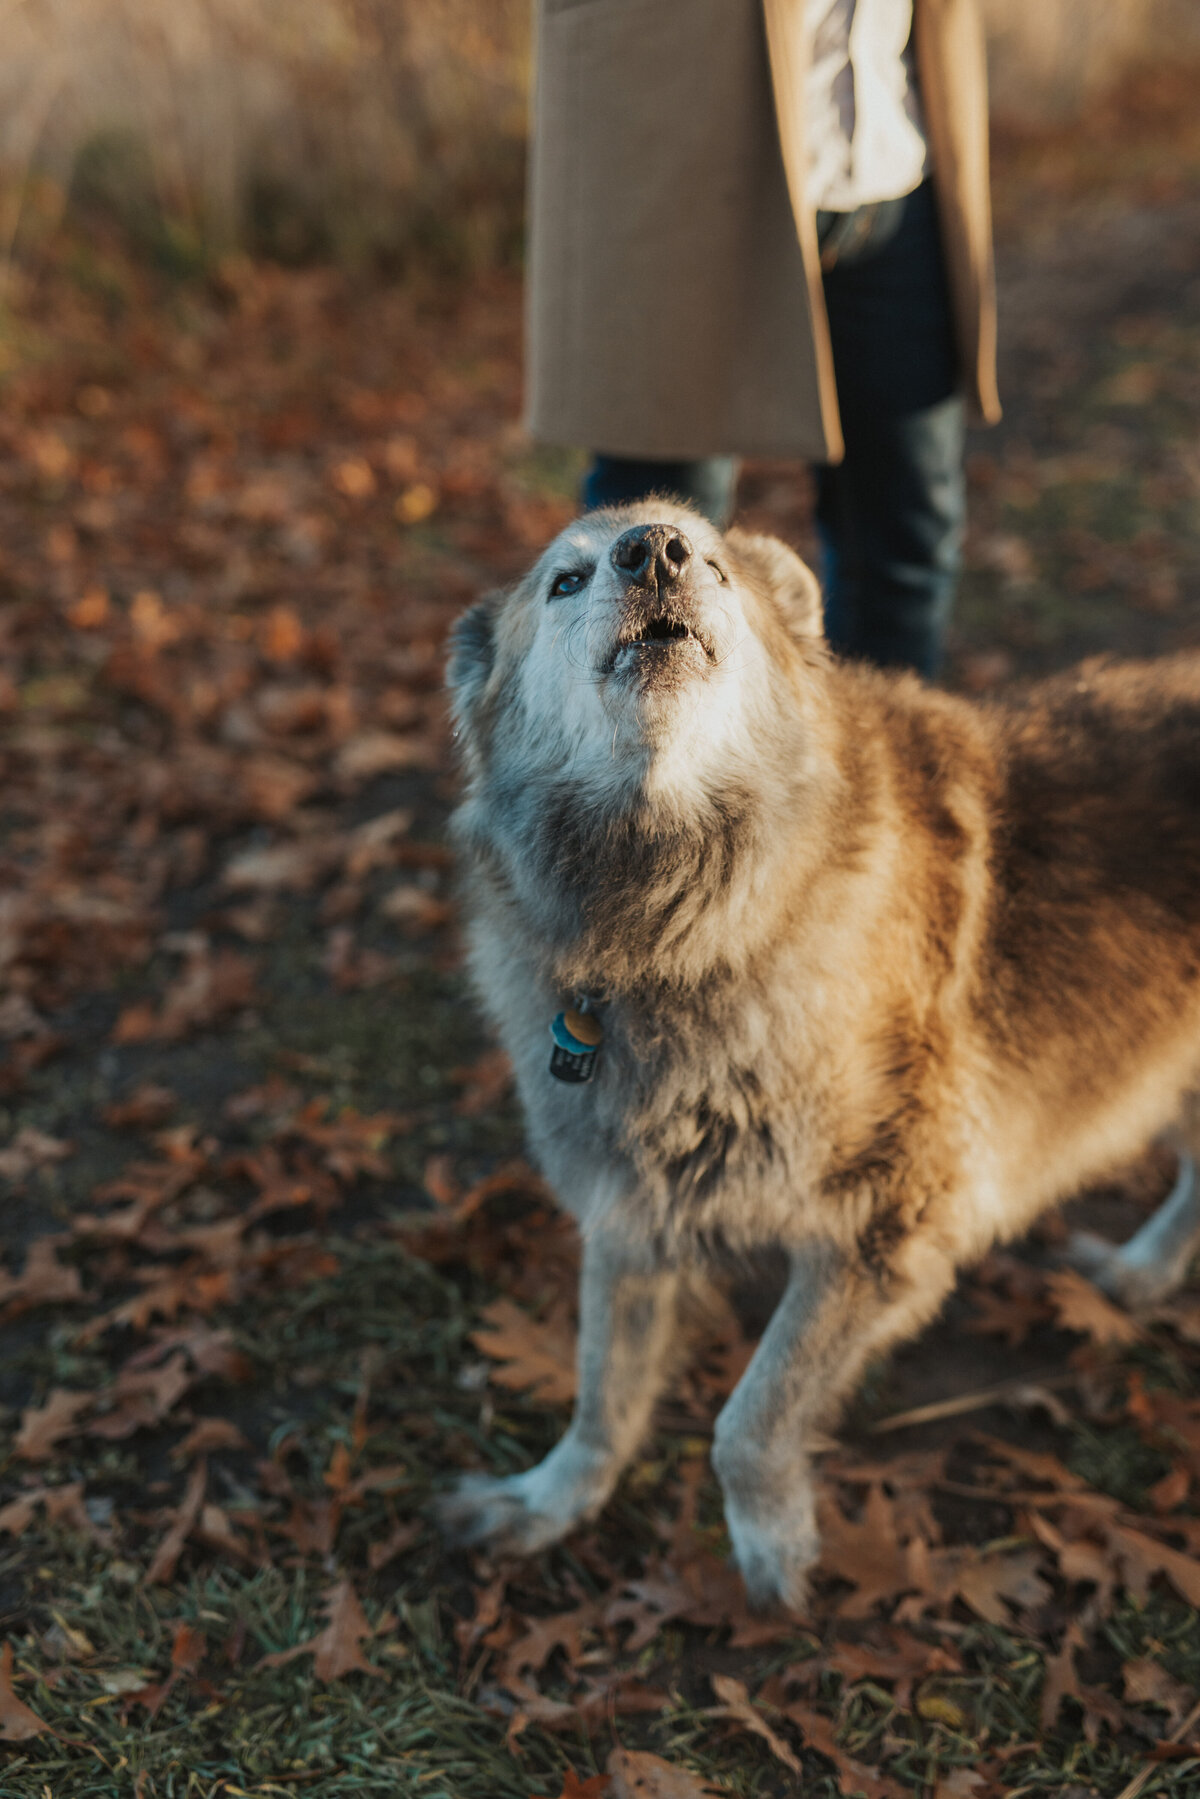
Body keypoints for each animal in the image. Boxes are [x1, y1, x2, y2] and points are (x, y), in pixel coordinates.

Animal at [440, 500, 1200, 1611]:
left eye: (712, 563)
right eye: (565, 581)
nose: (654, 550)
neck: (683, 933)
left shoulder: (886, 1233)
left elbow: (746, 1422)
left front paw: (773, 1551)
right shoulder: (630, 1214)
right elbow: (601, 1394)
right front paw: (548, 1501)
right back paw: (1143, 1274)